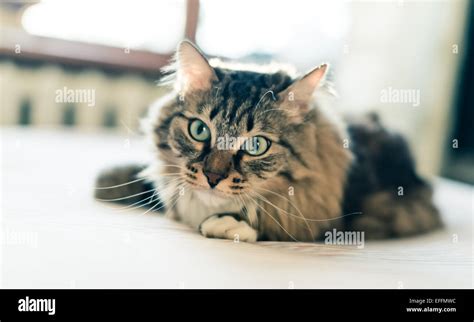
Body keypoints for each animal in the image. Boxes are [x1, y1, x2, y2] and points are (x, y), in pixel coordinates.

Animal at [94, 39, 442, 242]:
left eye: (257, 146)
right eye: (199, 130)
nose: (212, 177)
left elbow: (277, 224)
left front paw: (228, 224)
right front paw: (109, 182)